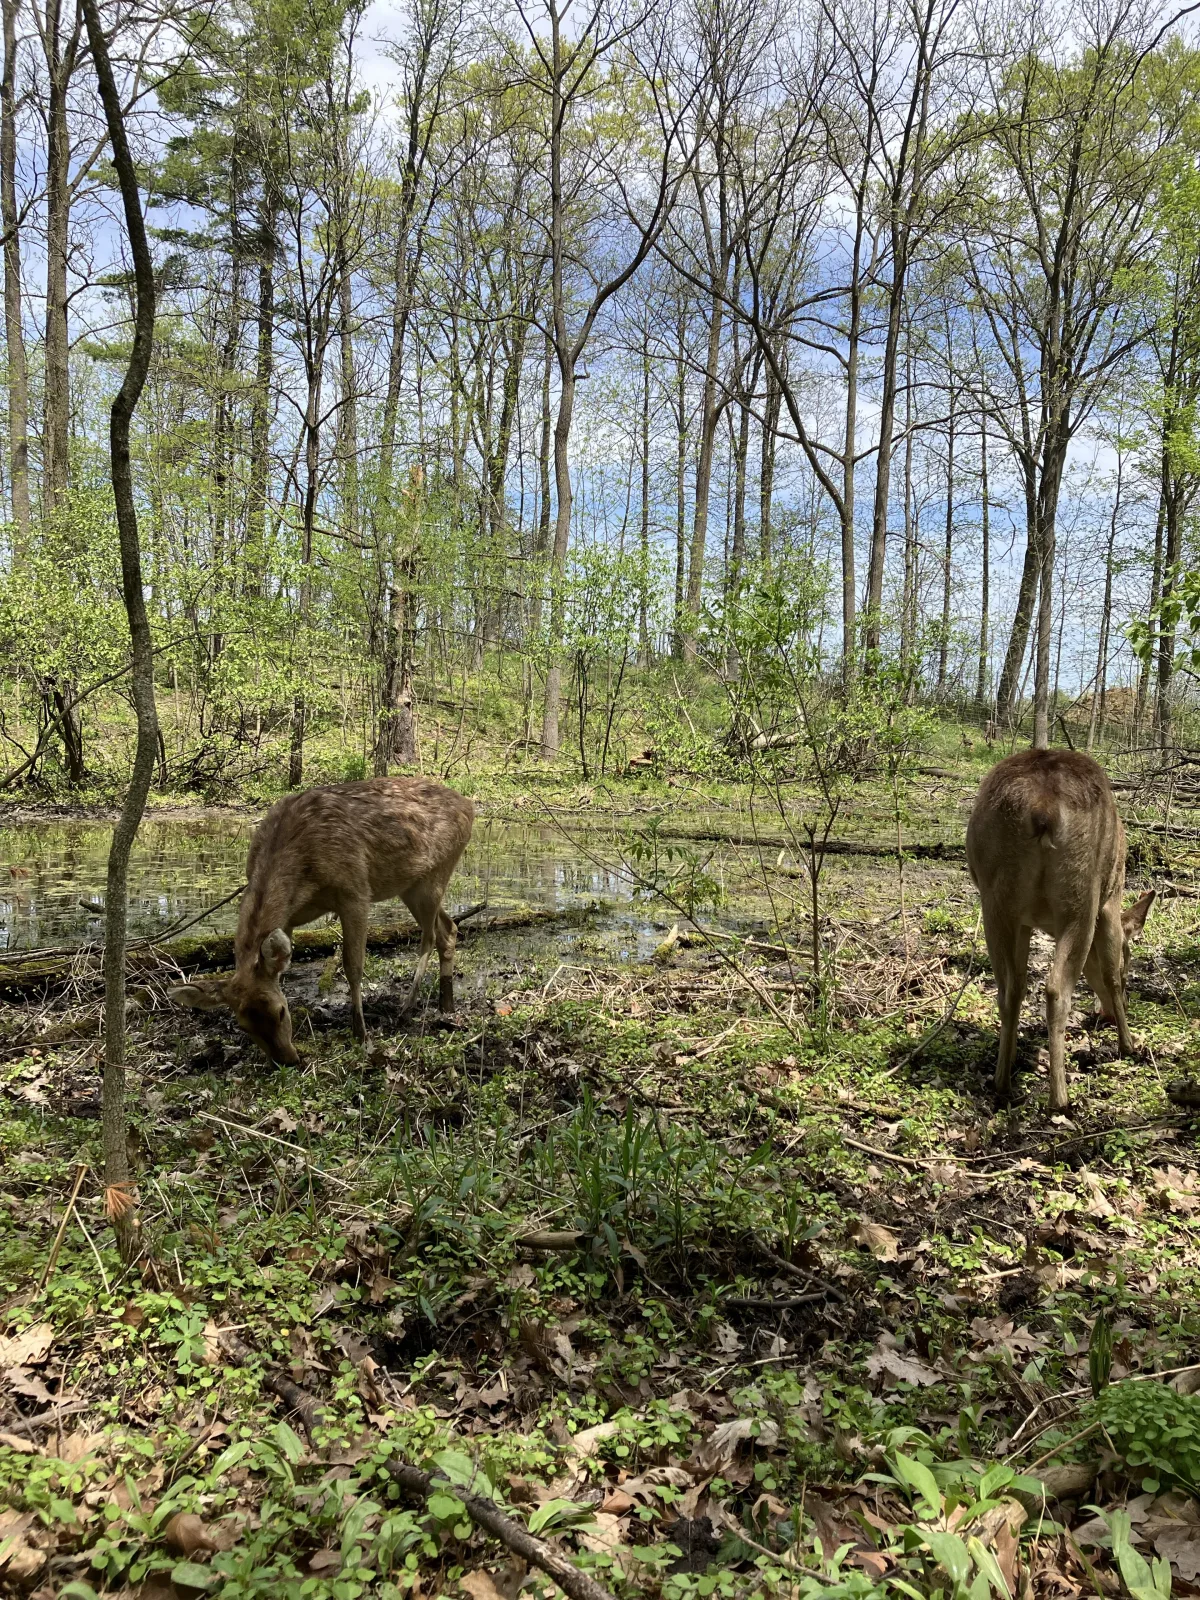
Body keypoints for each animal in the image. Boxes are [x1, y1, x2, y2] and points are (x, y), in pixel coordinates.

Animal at [170, 776, 474, 1063]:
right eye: (244, 1026)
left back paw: (408, 1006)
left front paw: (361, 1034)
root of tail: (468, 806)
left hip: (436, 873)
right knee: (448, 928)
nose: (286, 1060)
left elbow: (353, 966)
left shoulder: (355, 892)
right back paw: (446, 1004)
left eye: (280, 1012)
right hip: (411, 885)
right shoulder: (288, 918)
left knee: (430, 935)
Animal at [966, 748, 1154, 1111]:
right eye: (1130, 961)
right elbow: (1110, 972)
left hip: (996, 897)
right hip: (1083, 896)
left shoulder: (1024, 921)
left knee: (1010, 988)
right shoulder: (1111, 899)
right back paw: (1060, 1096)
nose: (1106, 1014)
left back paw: (1002, 1079)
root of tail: (1044, 808)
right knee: (1056, 989)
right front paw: (1129, 1044)